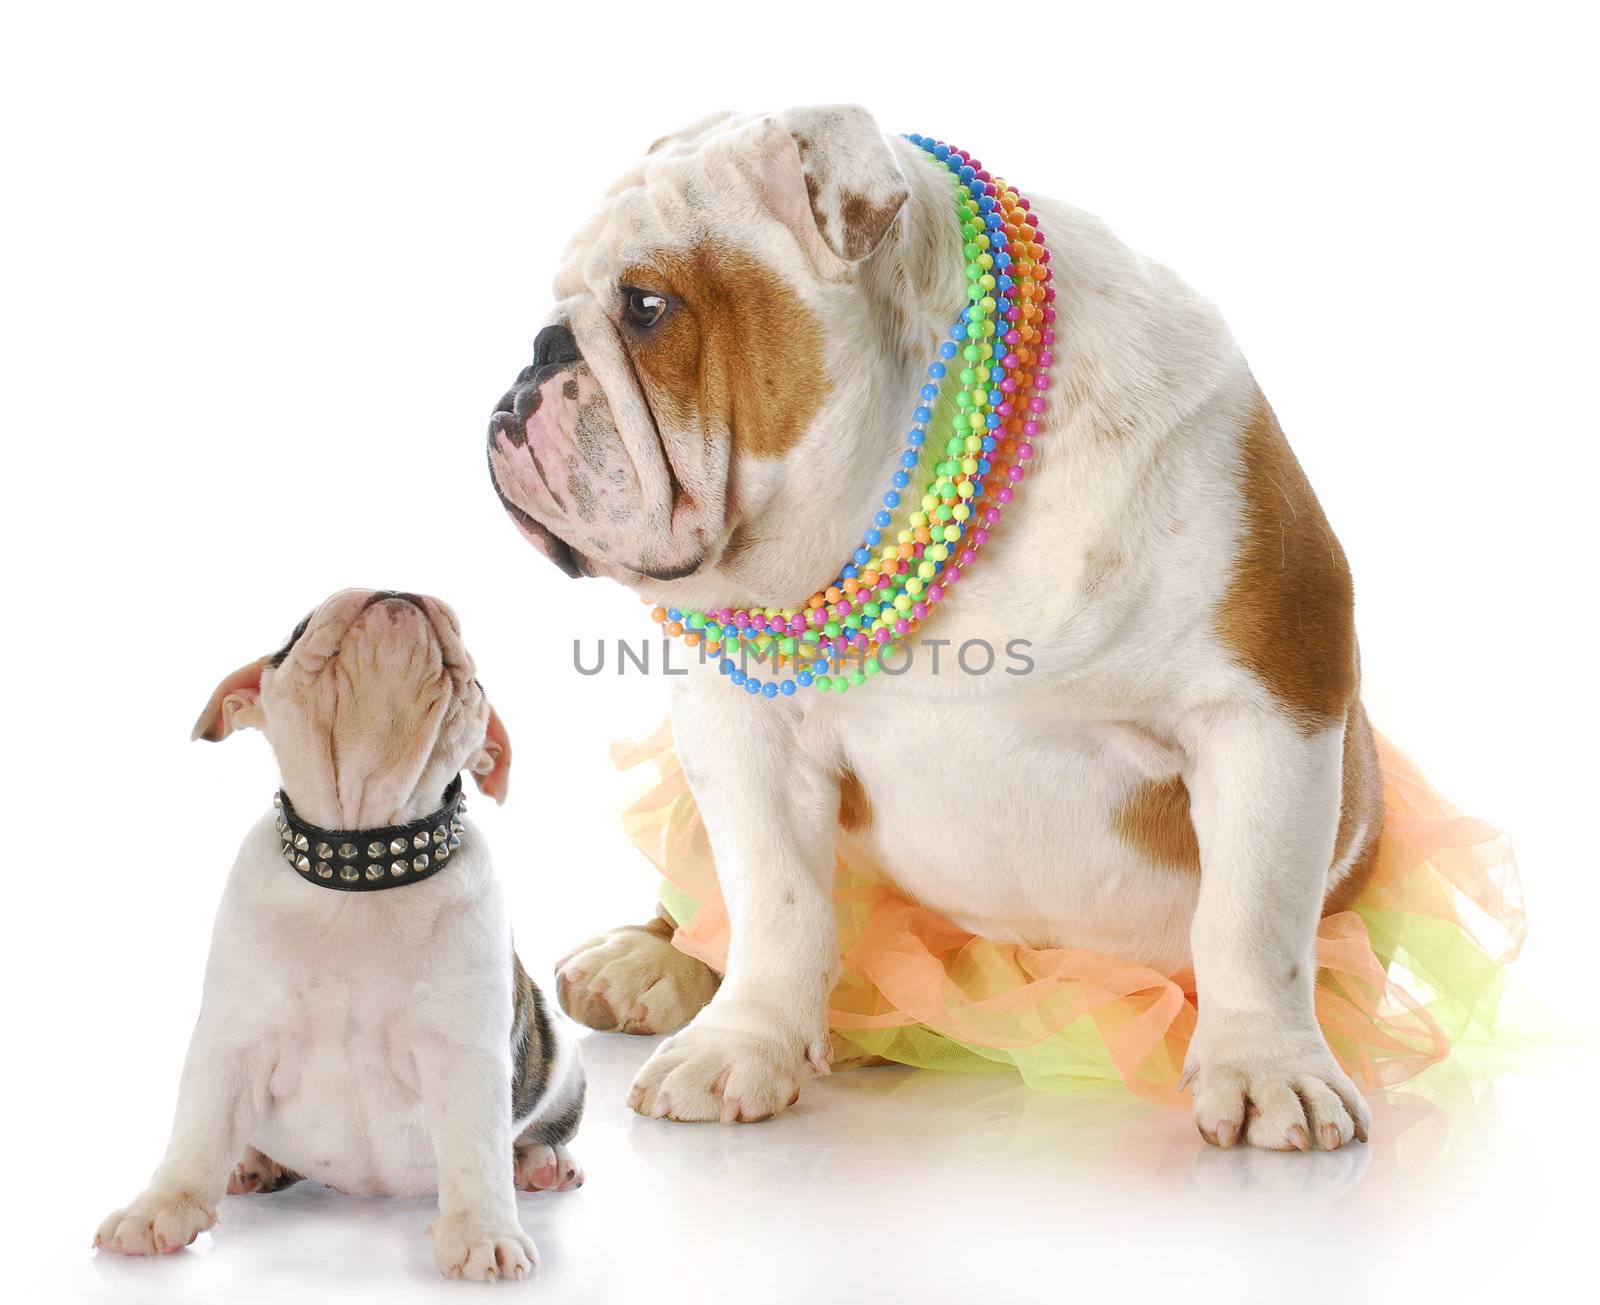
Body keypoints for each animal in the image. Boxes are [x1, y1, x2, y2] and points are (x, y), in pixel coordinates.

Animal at [93, 585, 585, 1279]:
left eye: (481, 675)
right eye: (298, 630)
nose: (398, 589)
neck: (361, 860)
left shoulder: (463, 1056)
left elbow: (476, 1151)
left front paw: (485, 1230)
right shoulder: (231, 1043)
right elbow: (198, 1130)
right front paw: (161, 1206)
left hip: (564, 1065)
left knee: (536, 1130)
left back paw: (540, 1162)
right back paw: (253, 1163)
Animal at [486, 109, 1376, 1151]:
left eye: (646, 306)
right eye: (560, 309)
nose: (539, 353)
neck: (893, 496)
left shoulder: (1268, 704)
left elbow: (1252, 915)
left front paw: (1271, 1067)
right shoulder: (740, 731)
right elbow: (773, 898)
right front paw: (742, 1041)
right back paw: (649, 958)